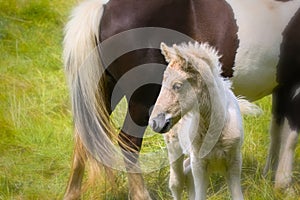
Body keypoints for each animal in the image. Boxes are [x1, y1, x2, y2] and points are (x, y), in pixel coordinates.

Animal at [63, 0, 300, 199]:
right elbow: (290, 135)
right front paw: (284, 185)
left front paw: (269, 175)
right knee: (128, 142)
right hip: (140, 100)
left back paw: (72, 193)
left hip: (103, 90)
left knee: (84, 135)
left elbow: (276, 131)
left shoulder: (282, 87)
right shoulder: (295, 86)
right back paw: (141, 195)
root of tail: (103, 6)